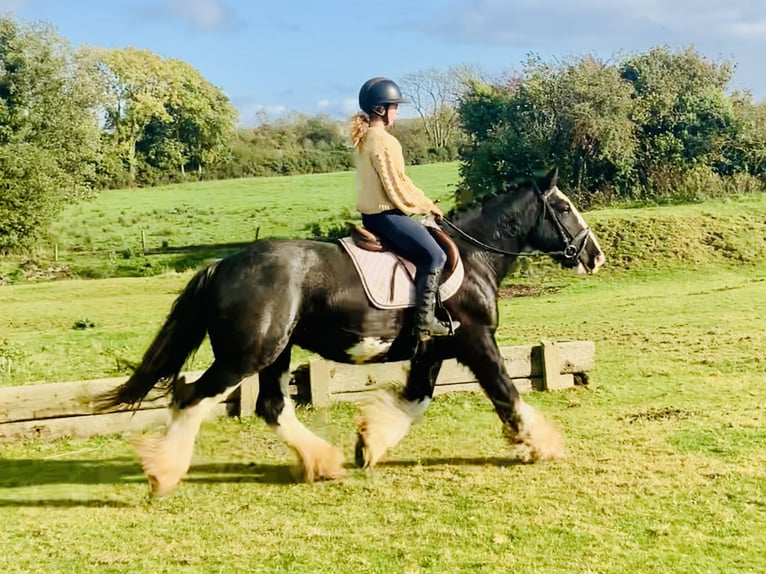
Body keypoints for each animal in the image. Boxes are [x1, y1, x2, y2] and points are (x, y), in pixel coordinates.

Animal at [99, 166, 608, 496]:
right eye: (564, 207)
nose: (595, 256)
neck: (474, 254)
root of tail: (222, 265)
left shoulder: (432, 350)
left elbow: (415, 401)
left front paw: (369, 444)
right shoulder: (477, 340)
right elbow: (507, 393)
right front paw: (541, 444)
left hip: (277, 353)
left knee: (271, 406)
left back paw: (323, 462)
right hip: (248, 354)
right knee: (192, 397)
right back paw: (164, 473)